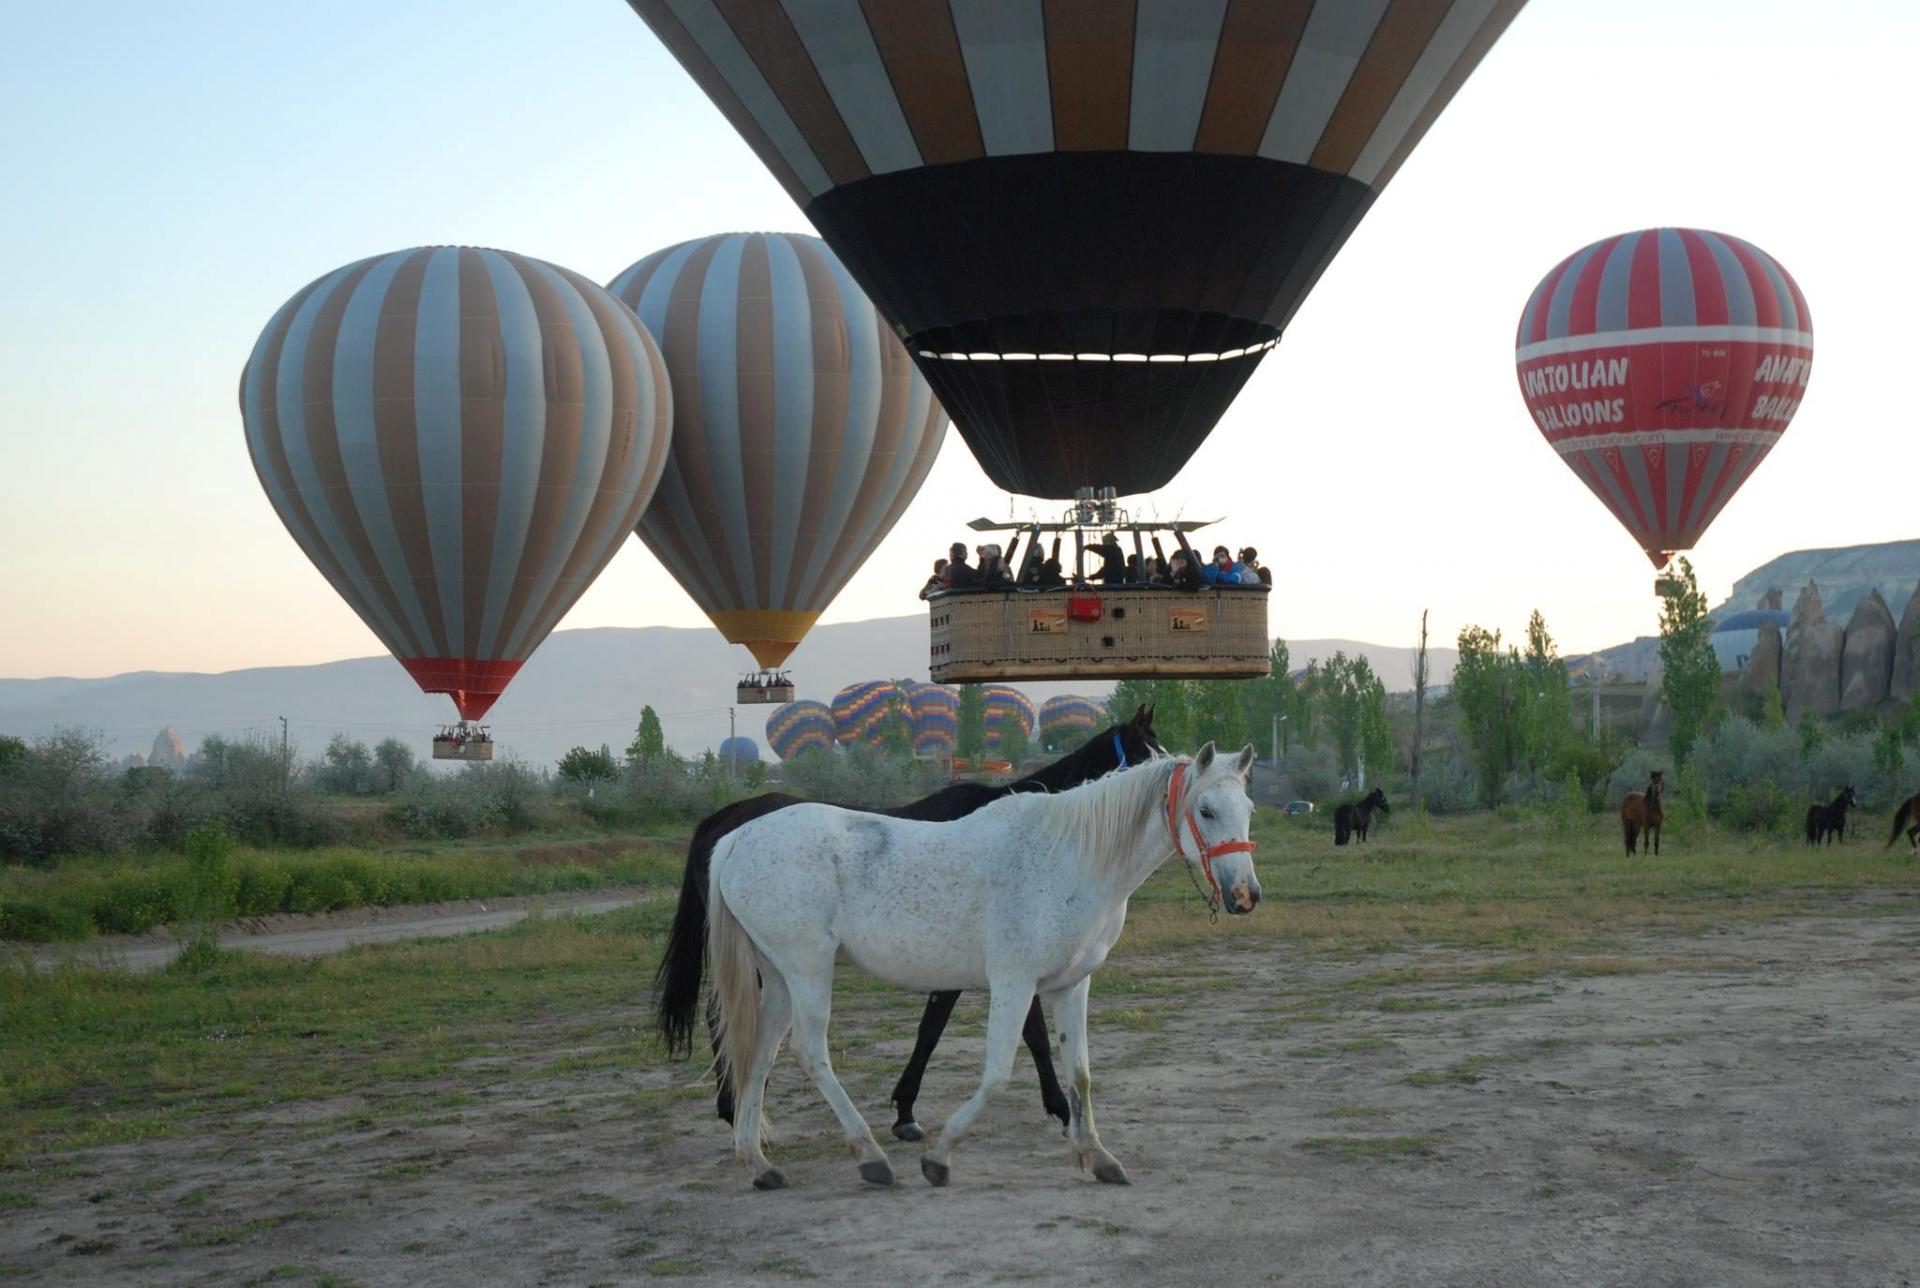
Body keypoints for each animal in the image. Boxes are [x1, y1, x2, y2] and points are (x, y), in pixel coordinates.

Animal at [656, 706, 1167, 1136]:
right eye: (1147, 752)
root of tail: (726, 823)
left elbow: (954, 1031)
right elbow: (992, 1035)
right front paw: (1058, 1109)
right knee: (723, 1015)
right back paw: (734, 1106)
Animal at [706, 740, 1259, 1197]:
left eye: (1249, 810)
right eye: (1206, 810)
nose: (1245, 896)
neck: (1070, 859)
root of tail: (736, 839)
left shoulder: (1072, 986)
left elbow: (1079, 1075)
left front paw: (1098, 1156)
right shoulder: (1014, 985)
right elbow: (997, 1074)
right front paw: (939, 1158)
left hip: (780, 979)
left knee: (760, 1055)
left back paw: (758, 1162)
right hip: (809, 970)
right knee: (809, 1052)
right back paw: (871, 1158)